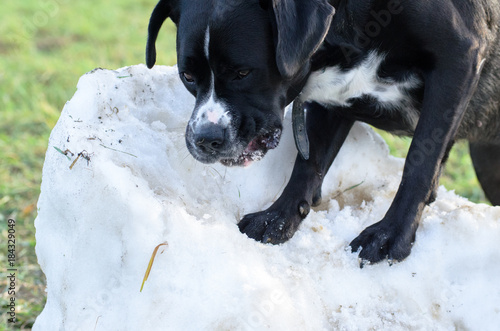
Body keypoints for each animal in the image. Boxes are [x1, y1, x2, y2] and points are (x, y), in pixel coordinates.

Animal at [146, 0, 500, 264]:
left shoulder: (459, 57)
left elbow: (421, 162)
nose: (205, 139)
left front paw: (392, 234)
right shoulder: (332, 94)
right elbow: (308, 162)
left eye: (243, 72)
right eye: (188, 76)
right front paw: (279, 217)